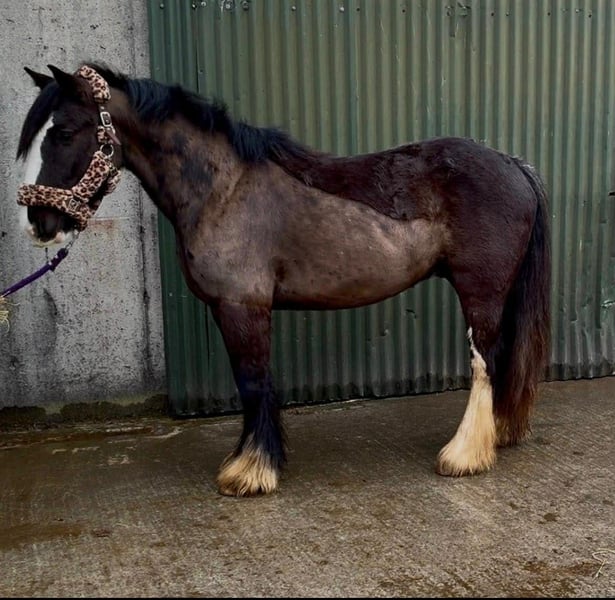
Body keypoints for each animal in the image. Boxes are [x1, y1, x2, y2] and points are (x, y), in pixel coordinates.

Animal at [15, 62, 551, 497]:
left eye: (64, 131)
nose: (38, 224)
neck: (223, 188)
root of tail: (512, 164)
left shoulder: (242, 307)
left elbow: (253, 382)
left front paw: (251, 472)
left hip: (480, 292)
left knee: (484, 362)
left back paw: (464, 455)